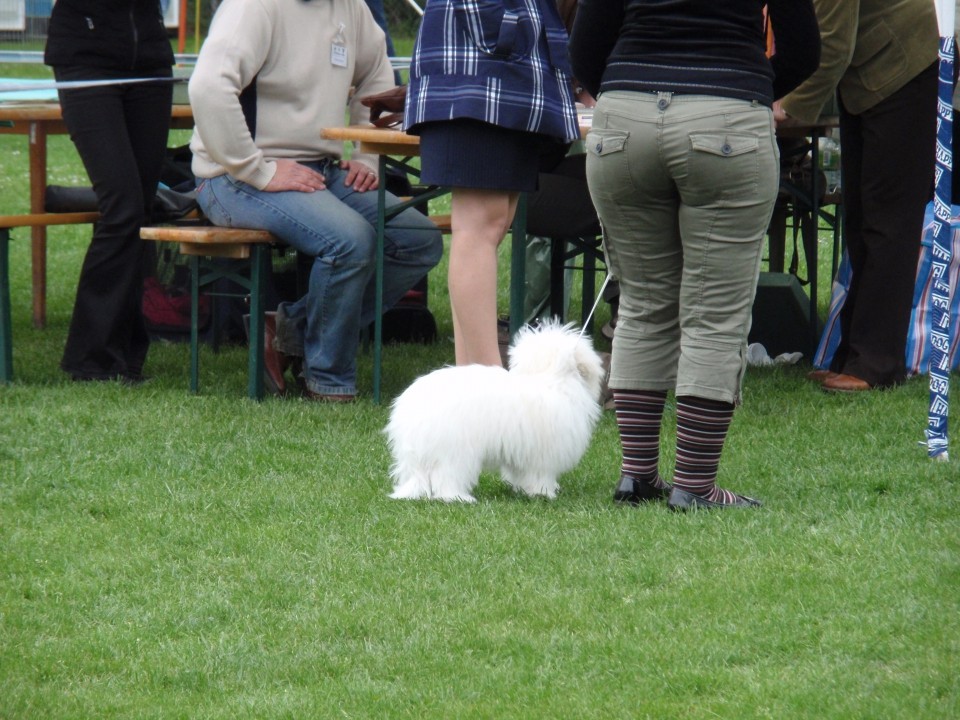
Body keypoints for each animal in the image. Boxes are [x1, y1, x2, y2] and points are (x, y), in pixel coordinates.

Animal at [386, 320, 604, 500]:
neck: (552, 378)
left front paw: (525, 491)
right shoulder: (543, 455)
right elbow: (540, 476)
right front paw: (544, 493)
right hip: (456, 452)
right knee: (446, 479)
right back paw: (458, 498)